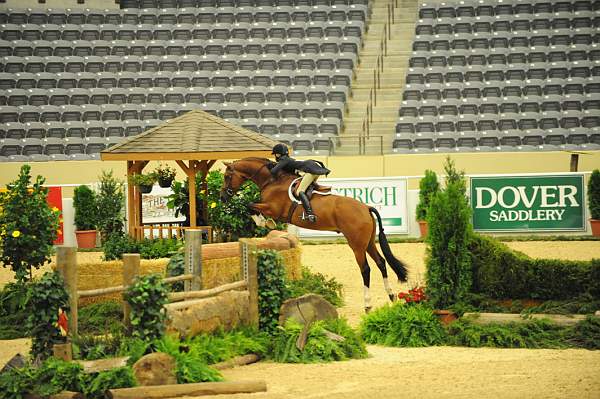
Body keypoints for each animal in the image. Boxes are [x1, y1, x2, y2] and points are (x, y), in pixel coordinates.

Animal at [220, 157, 408, 312]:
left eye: (227, 176)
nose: (222, 197)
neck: (272, 181)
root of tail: (366, 208)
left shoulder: (272, 208)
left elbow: (250, 206)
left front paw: (264, 222)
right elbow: (251, 206)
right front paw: (265, 222)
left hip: (356, 245)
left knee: (366, 269)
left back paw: (368, 304)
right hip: (368, 242)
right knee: (381, 262)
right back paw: (391, 295)